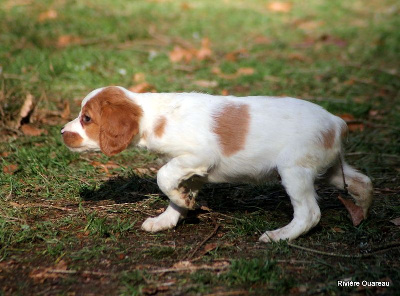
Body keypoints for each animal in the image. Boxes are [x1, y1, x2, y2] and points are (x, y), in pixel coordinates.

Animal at [61, 86, 374, 243]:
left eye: (86, 118)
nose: (62, 133)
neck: (155, 116)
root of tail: (336, 122)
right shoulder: (191, 169)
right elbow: (174, 190)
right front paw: (169, 217)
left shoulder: (198, 156)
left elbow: (162, 177)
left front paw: (181, 204)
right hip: (329, 169)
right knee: (363, 182)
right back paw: (361, 212)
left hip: (293, 170)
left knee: (310, 213)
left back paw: (280, 236)